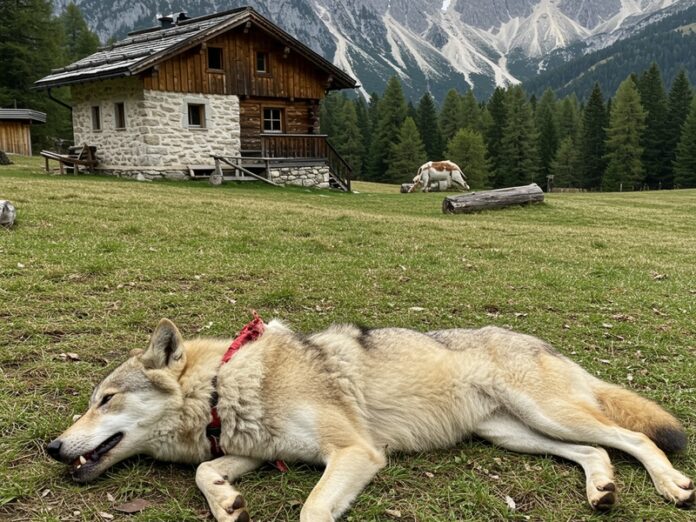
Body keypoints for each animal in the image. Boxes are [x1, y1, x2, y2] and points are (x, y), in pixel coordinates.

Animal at [47, 319, 694, 521]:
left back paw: (671, 485)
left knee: (633, 436)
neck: (222, 389)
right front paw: (228, 506)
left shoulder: (355, 452)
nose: (52, 447)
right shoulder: (261, 451)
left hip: (548, 414)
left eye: (104, 399)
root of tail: (543, 342)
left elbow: (310, 511)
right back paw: (602, 491)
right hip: (516, 433)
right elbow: (209, 474)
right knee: (597, 452)